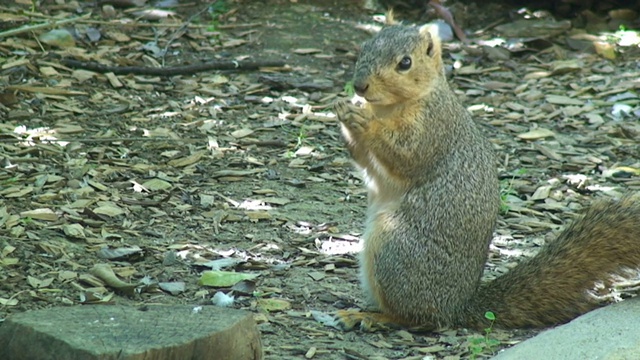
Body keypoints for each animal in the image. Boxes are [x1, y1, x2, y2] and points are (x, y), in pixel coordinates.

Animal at [332, 15, 640, 330]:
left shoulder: (433, 128)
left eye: (405, 63)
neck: (389, 107)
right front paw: (344, 109)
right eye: (364, 47)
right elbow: (365, 162)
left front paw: (362, 121)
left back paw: (372, 317)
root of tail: (456, 307)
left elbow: (406, 155)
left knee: (417, 318)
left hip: (395, 251)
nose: (359, 86)